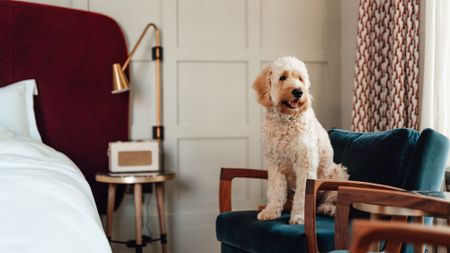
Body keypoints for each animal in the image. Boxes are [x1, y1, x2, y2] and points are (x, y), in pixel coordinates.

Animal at [253, 56, 348, 224]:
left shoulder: (306, 162)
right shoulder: (274, 164)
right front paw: (270, 211)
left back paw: (327, 208)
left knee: (331, 199)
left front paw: (298, 216)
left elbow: (302, 193)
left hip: (338, 172)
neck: (286, 120)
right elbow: (275, 190)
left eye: (300, 79)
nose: (298, 91)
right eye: (282, 77)